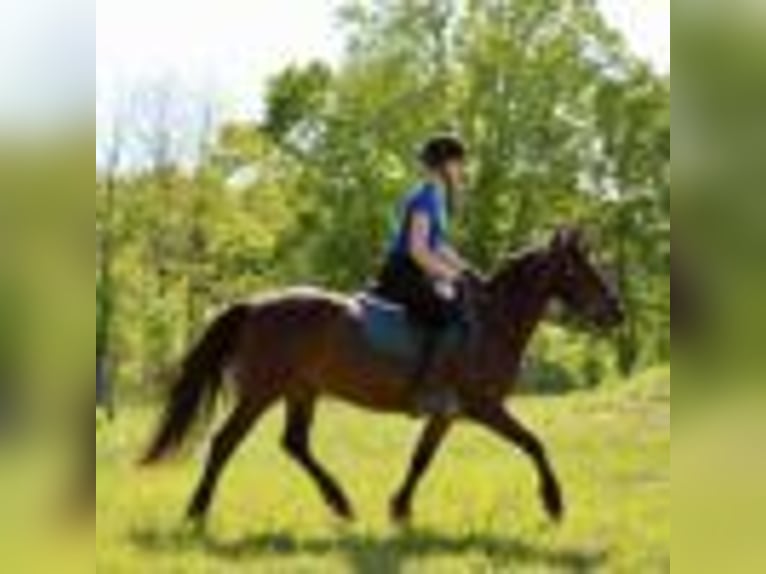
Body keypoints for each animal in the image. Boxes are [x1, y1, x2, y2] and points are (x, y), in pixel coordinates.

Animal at [141, 227, 623, 526]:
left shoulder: (446, 414)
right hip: (261, 392)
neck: (492, 321)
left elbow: (421, 459)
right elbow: (534, 443)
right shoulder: (484, 407)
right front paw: (554, 502)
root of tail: (254, 305)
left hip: (302, 390)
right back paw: (197, 511)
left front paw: (399, 508)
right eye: (580, 269)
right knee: (225, 443)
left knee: (295, 444)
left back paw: (340, 503)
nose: (616, 312)